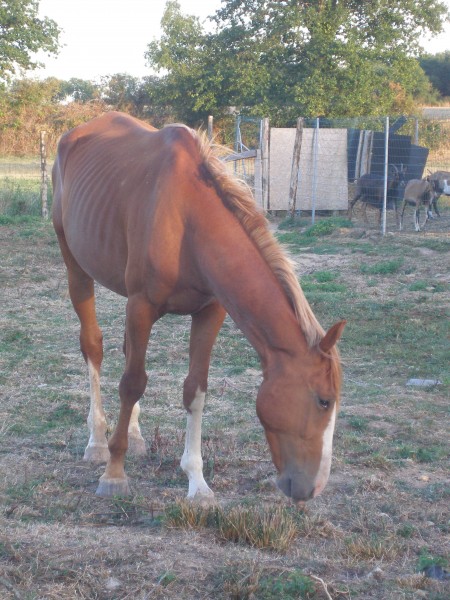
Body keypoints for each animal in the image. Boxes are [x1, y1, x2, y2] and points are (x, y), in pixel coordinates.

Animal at [51, 111, 344, 502]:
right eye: (323, 401)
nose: (313, 488)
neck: (188, 221)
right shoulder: (142, 305)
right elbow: (132, 382)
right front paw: (114, 474)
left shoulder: (209, 312)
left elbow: (195, 388)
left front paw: (197, 481)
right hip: (76, 268)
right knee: (93, 347)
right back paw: (97, 441)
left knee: (128, 351)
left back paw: (136, 435)